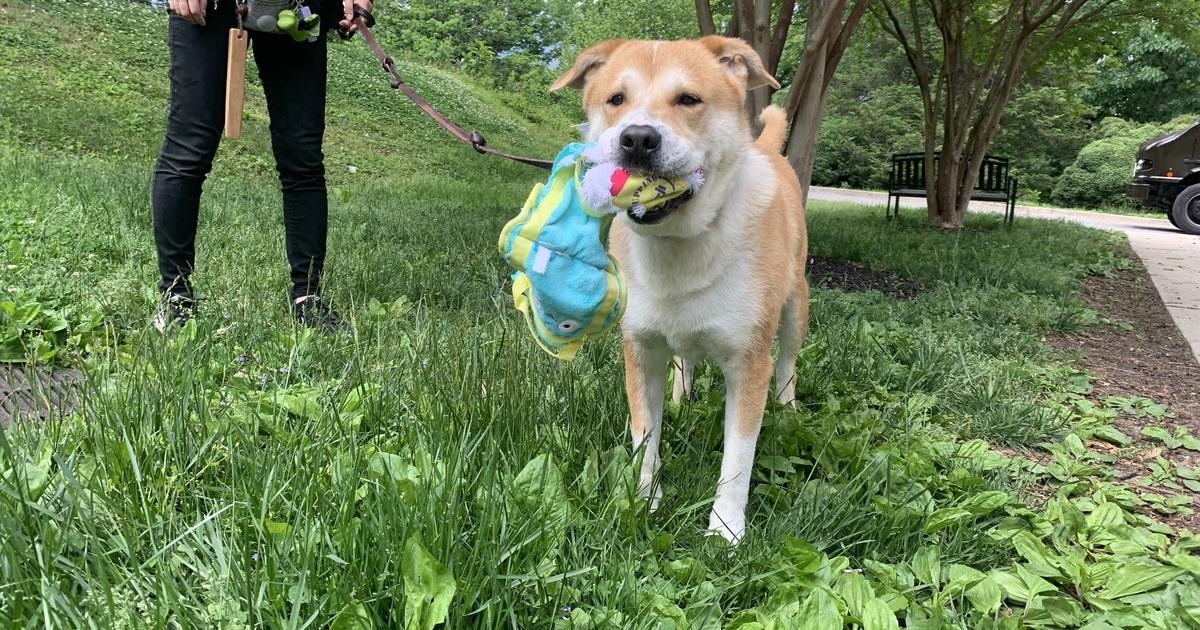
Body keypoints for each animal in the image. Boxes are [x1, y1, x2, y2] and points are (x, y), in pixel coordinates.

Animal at [549, 36, 811, 542]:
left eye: (689, 99)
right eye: (616, 99)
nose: (637, 138)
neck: (678, 243)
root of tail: (767, 149)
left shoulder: (749, 363)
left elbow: (738, 457)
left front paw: (726, 529)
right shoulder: (640, 351)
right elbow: (644, 436)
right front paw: (645, 500)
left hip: (795, 306)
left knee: (788, 362)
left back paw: (788, 412)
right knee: (684, 358)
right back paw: (682, 397)